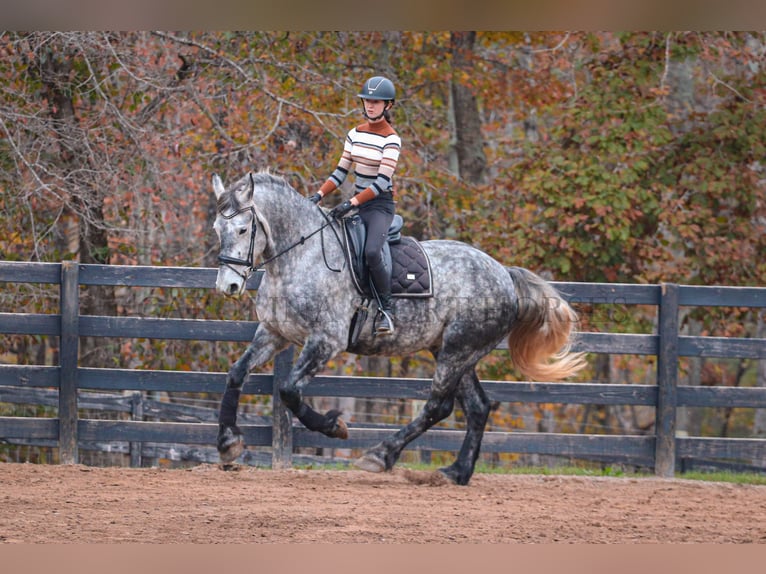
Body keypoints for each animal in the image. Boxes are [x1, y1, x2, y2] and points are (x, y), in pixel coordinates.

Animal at [213, 172, 584, 486]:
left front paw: (334, 426)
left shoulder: (325, 341)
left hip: (457, 351)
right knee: (477, 407)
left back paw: (381, 455)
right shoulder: (274, 334)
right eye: (218, 228)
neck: (302, 257)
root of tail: (503, 273)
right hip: (455, 351)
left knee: (438, 406)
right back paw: (457, 472)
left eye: (244, 229)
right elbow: (235, 374)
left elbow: (289, 390)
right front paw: (228, 443)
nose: (227, 286)